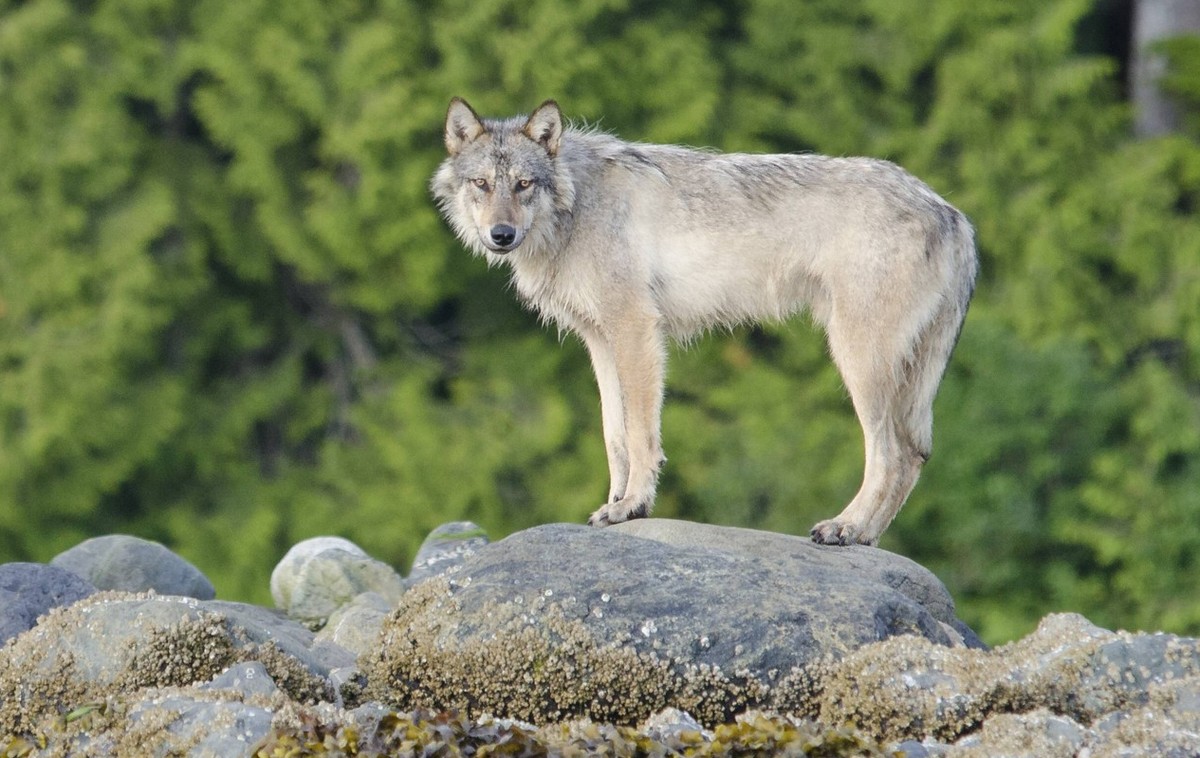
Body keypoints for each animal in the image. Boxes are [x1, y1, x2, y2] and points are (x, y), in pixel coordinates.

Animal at [432, 97, 977, 546]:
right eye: (482, 185)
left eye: (523, 185)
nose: (501, 235)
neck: (576, 206)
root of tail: (952, 213)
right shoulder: (600, 343)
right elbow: (614, 436)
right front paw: (613, 504)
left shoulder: (636, 331)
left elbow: (640, 435)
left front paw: (633, 506)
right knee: (913, 456)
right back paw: (865, 536)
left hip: (856, 360)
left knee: (891, 456)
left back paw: (845, 527)